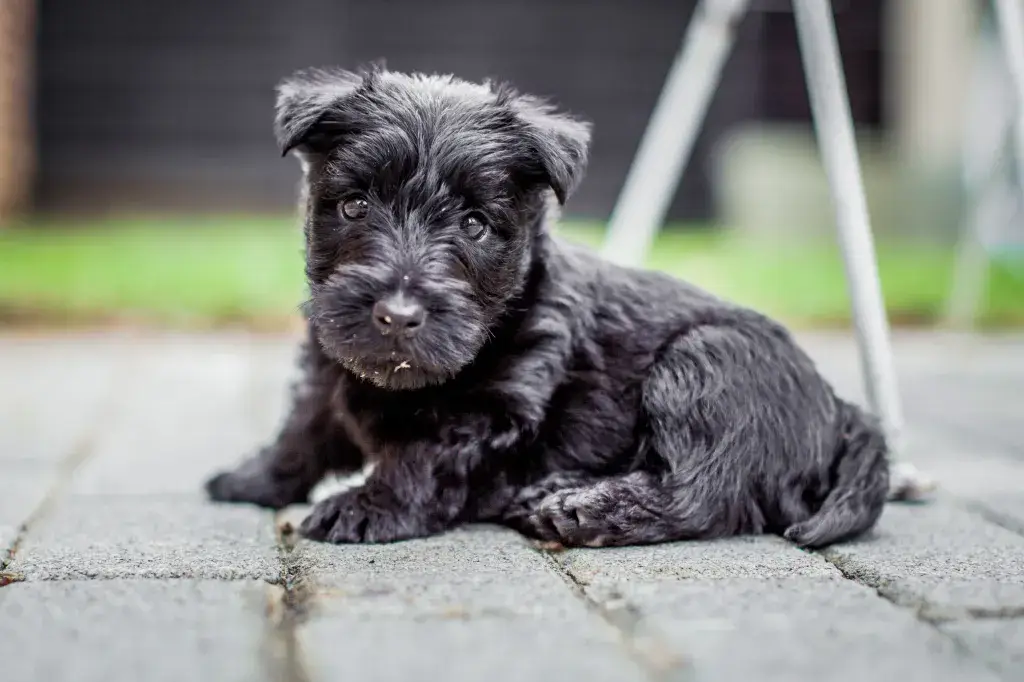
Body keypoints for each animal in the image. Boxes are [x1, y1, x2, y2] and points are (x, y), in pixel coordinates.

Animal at [205, 66, 888, 548]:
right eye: (353, 205)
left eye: (475, 225)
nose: (397, 315)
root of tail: (842, 412)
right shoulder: (329, 370)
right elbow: (302, 430)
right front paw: (253, 478)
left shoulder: (490, 409)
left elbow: (420, 455)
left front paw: (366, 506)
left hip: (704, 364)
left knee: (701, 492)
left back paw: (576, 509)